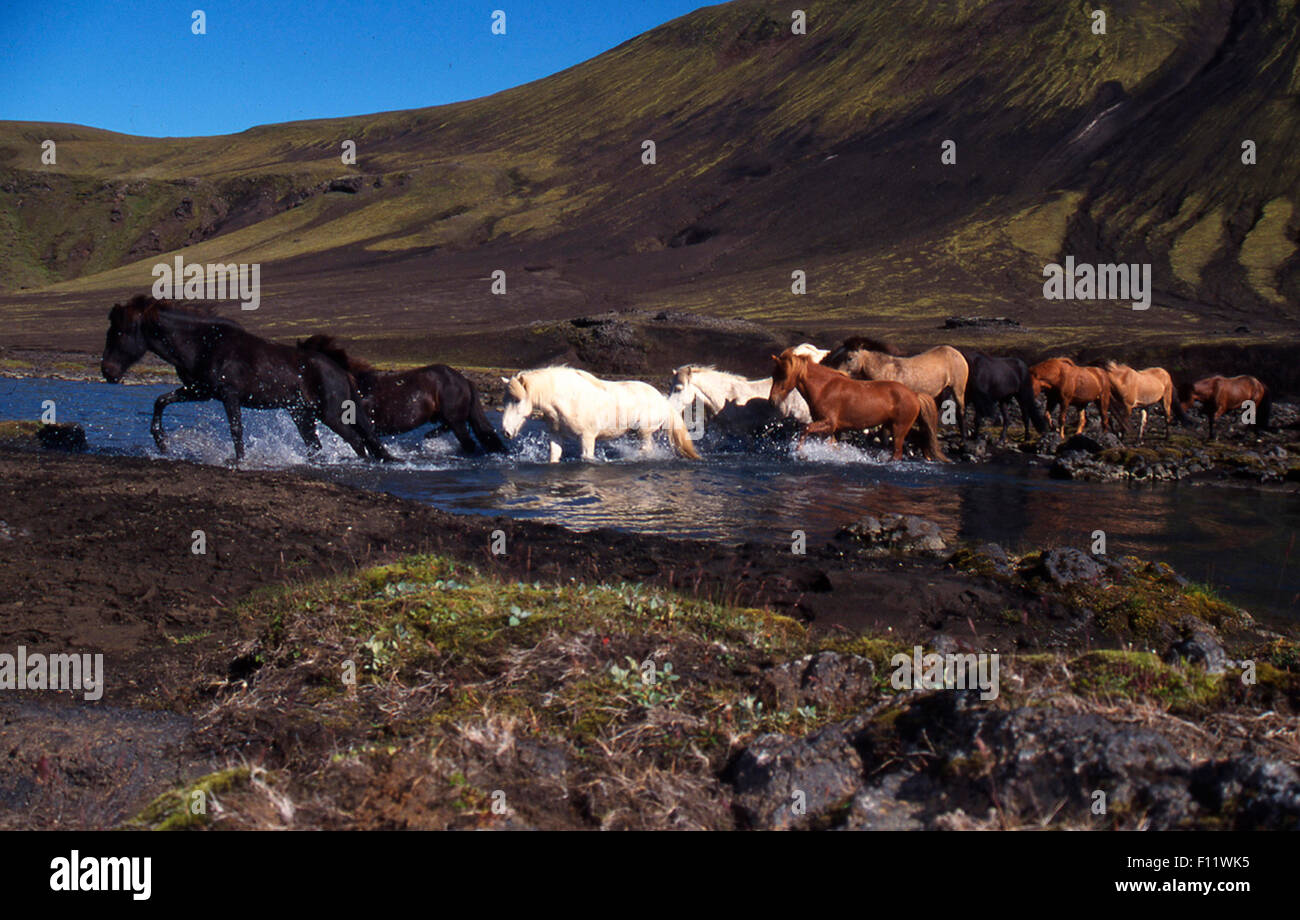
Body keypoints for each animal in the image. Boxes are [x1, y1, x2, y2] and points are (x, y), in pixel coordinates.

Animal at [100, 294, 390, 462]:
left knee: (358, 442)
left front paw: (238, 460)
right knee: (318, 447)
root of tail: (341, 371)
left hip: (331, 414)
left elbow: (236, 428)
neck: (204, 344)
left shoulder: (228, 394)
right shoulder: (199, 390)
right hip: (303, 415)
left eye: (122, 331)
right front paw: (161, 443)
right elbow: (161, 401)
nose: (107, 372)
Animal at [499, 366, 702, 462]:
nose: (506, 432)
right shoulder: (556, 436)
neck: (568, 398)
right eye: (505, 400)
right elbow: (554, 457)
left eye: (517, 400)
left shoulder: (587, 438)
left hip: (644, 433)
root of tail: (662, 401)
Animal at [764, 348, 951, 460]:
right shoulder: (832, 430)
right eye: (773, 375)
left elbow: (805, 429)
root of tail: (914, 395)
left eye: (783, 375)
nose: (772, 400)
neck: (824, 388)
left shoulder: (828, 423)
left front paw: (800, 453)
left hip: (899, 429)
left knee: (898, 453)